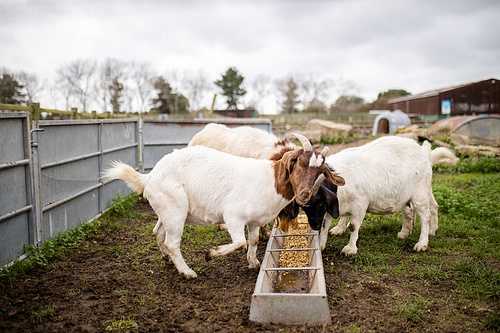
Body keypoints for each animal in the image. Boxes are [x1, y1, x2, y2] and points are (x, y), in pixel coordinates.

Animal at [101, 134, 344, 278]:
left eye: (320, 171)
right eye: (299, 163)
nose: (304, 194)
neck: (270, 181)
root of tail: (150, 177)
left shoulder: (255, 220)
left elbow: (254, 240)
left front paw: (253, 263)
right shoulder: (233, 216)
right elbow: (239, 242)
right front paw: (211, 254)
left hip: (167, 210)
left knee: (158, 232)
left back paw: (167, 260)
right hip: (175, 210)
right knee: (172, 242)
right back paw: (187, 272)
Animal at [320, 136, 458, 253]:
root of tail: (424, 151)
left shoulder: (360, 205)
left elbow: (354, 226)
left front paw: (350, 249)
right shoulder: (333, 206)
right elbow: (326, 224)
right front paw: (324, 243)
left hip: (420, 192)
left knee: (426, 215)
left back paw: (422, 243)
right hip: (414, 192)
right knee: (426, 207)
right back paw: (411, 232)